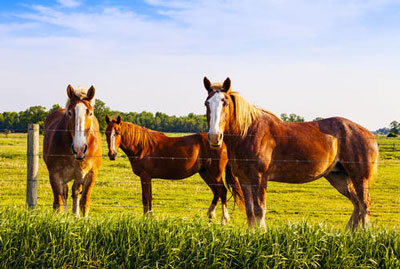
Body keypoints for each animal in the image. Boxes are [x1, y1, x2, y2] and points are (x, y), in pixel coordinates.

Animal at [43, 85, 102, 217]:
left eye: (90, 113)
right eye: (69, 113)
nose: (79, 149)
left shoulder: (91, 174)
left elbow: (84, 202)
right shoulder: (55, 175)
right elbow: (59, 203)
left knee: (75, 192)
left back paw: (76, 216)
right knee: (65, 193)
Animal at [104, 114, 241, 221]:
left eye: (117, 132)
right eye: (106, 132)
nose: (112, 154)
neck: (142, 146)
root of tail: (221, 142)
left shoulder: (145, 176)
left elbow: (146, 198)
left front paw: (146, 218)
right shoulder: (148, 177)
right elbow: (149, 198)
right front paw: (150, 217)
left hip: (215, 173)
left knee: (222, 191)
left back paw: (224, 219)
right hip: (205, 173)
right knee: (216, 192)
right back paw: (210, 215)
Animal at [203, 76, 378, 228]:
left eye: (225, 103)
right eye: (207, 103)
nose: (214, 137)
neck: (248, 132)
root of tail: (369, 135)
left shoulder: (259, 178)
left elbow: (260, 210)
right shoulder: (245, 179)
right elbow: (250, 211)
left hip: (359, 177)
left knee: (364, 204)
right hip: (338, 178)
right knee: (357, 204)